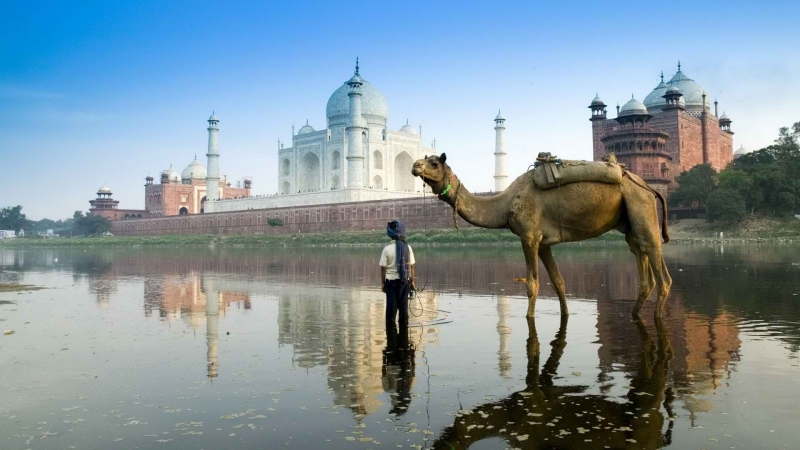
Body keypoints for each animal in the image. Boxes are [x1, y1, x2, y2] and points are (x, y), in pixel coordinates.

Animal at [416, 153, 672, 318]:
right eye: (425, 159)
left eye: (434, 162)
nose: (415, 165)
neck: (505, 203)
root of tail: (649, 187)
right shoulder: (543, 243)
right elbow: (558, 282)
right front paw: (565, 313)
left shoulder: (528, 236)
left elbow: (532, 284)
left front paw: (530, 318)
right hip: (630, 225)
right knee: (643, 267)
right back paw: (635, 314)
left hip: (641, 206)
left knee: (662, 272)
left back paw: (657, 317)